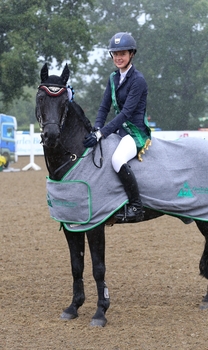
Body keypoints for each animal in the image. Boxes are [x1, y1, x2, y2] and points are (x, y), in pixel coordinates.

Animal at [36, 62, 208, 326]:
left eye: (64, 101)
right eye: (41, 98)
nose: (52, 137)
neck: (76, 155)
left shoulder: (95, 224)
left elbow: (98, 268)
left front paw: (100, 312)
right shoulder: (71, 223)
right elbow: (76, 265)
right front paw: (73, 307)